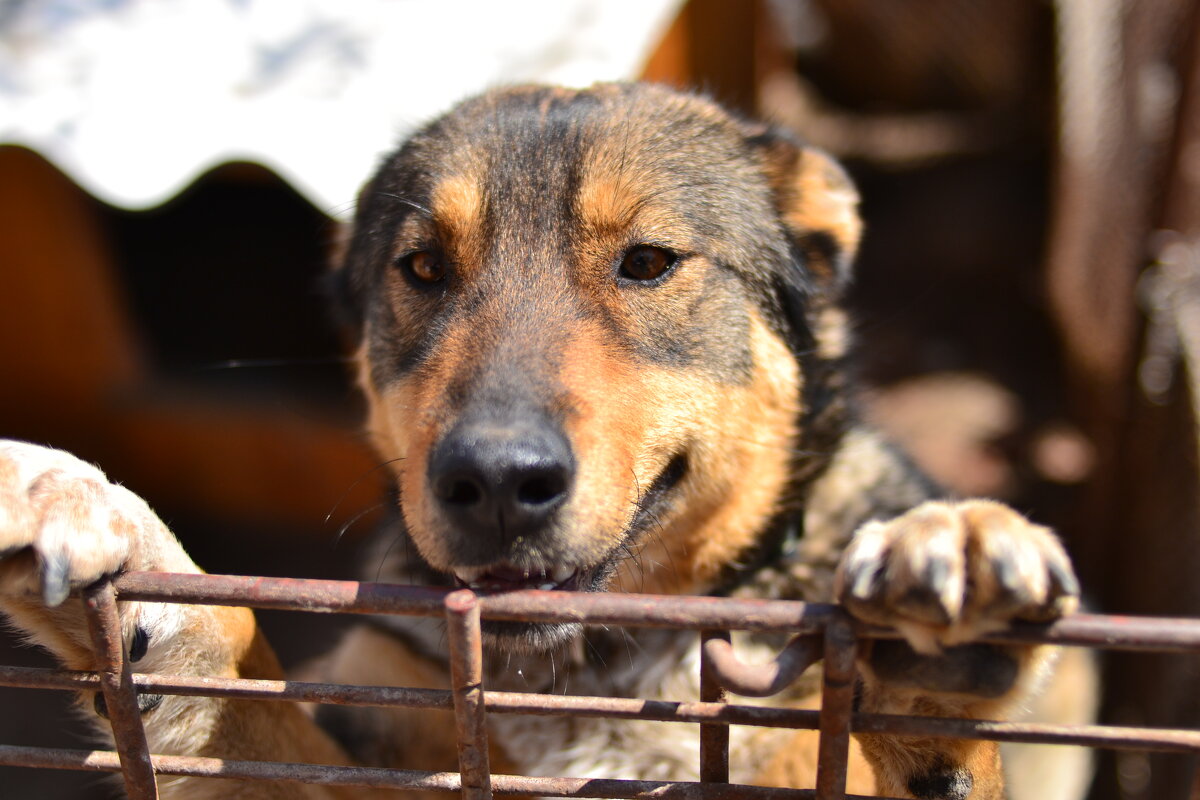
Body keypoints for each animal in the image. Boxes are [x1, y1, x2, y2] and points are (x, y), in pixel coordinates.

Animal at [0, 84, 1084, 796]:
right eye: (422, 267)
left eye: (648, 261)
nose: (494, 480)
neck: (594, 671)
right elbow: (229, 678)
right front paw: (101, 531)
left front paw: (939, 611)